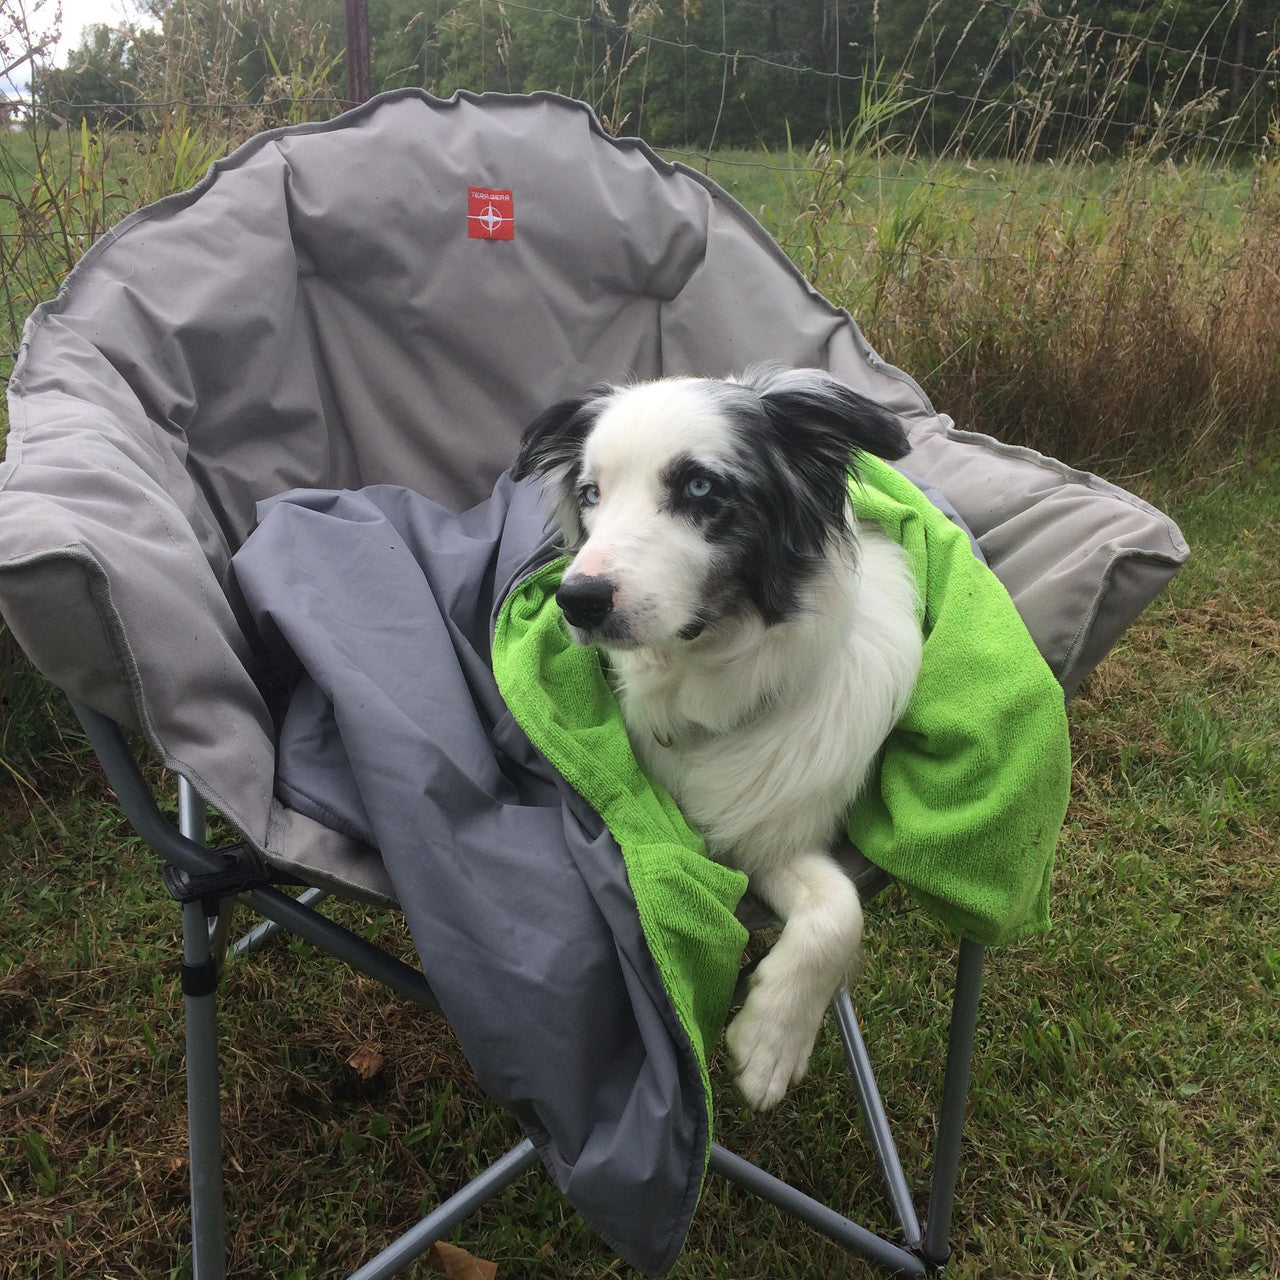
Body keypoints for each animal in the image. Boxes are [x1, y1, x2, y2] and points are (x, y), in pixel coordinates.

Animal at [514, 371, 926, 1111]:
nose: (577, 600)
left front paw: (771, 1044)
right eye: (590, 494)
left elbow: (838, 912)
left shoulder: (773, 830)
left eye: (701, 487)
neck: (706, 688)